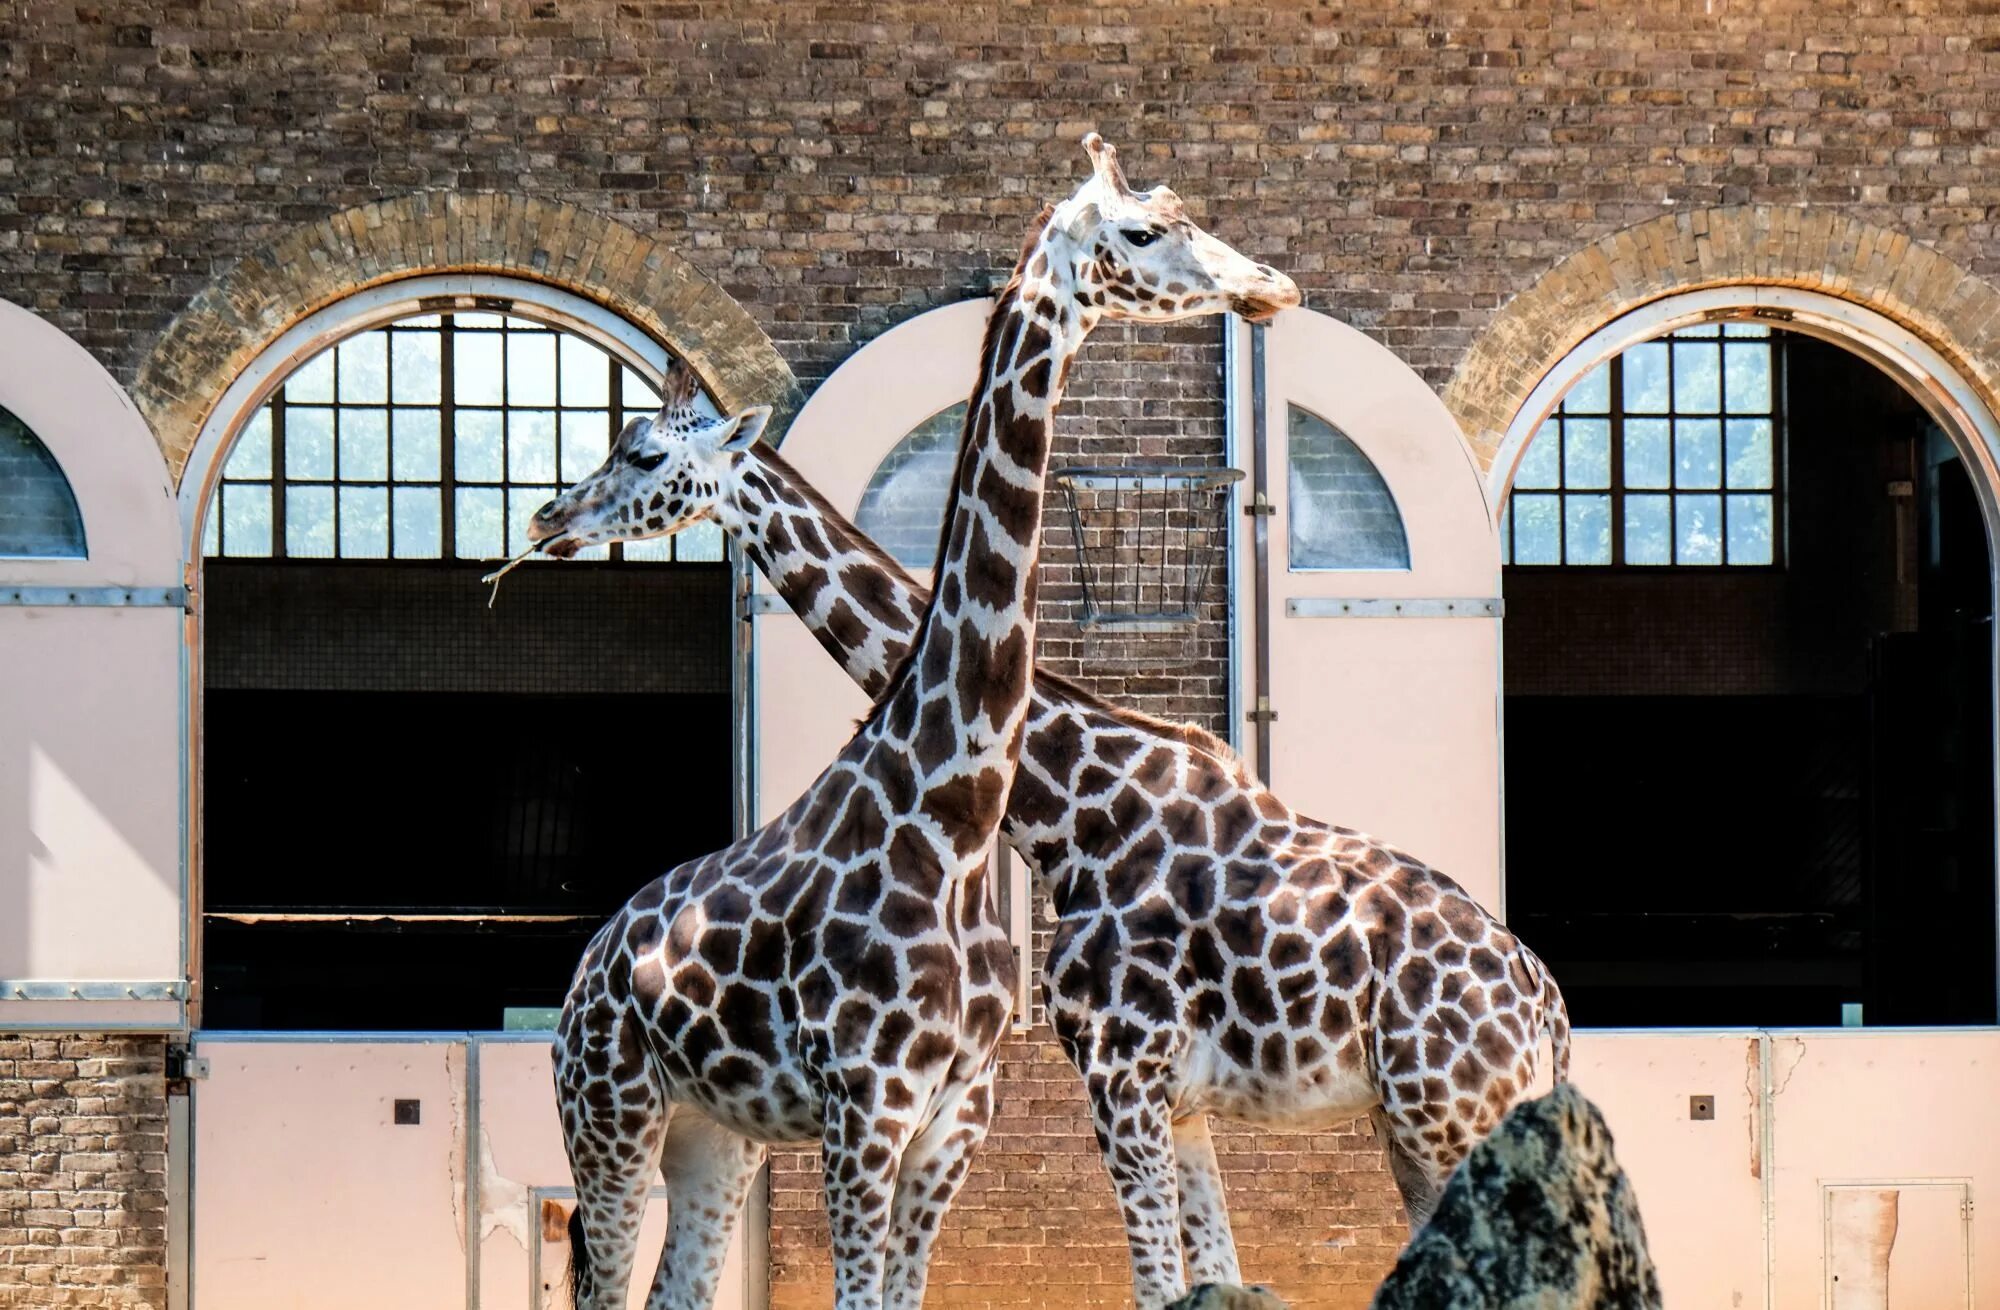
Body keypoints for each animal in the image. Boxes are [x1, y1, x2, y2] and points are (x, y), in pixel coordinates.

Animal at [544, 136, 1296, 1310]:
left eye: (642, 454)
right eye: (1141, 230)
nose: (548, 515)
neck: (962, 808)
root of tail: (586, 964)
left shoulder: (963, 1111)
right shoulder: (873, 1105)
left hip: (715, 1133)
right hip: (613, 1113)